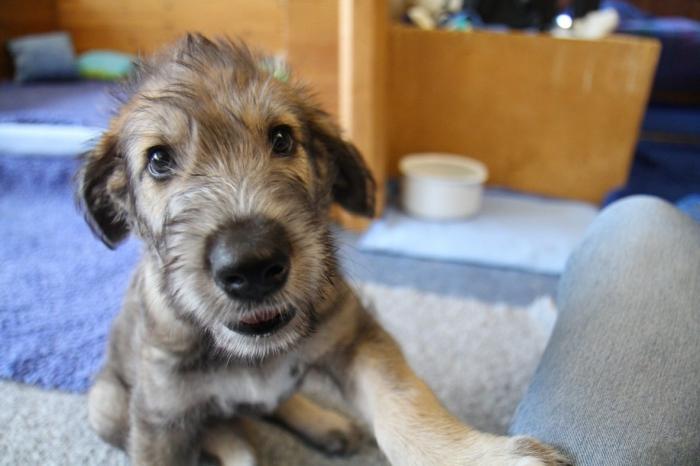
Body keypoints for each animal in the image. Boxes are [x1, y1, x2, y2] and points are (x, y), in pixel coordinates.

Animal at [78, 33, 568, 466]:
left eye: (282, 139)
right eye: (158, 160)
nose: (252, 266)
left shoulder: (354, 335)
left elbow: (404, 400)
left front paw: (471, 455)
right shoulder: (160, 415)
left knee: (273, 401)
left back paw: (324, 423)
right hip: (105, 404)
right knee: (224, 426)